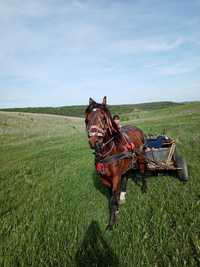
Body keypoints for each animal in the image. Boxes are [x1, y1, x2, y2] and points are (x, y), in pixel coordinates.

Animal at [85, 97, 147, 230]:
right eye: (86, 120)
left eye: (104, 119)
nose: (94, 142)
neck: (108, 152)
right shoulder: (105, 179)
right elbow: (111, 198)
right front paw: (116, 209)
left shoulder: (115, 177)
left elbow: (113, 199)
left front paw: (112, 223)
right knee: (126, 177)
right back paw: (123, 194)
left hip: (140, 157)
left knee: (143, 171)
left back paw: (144, 187)